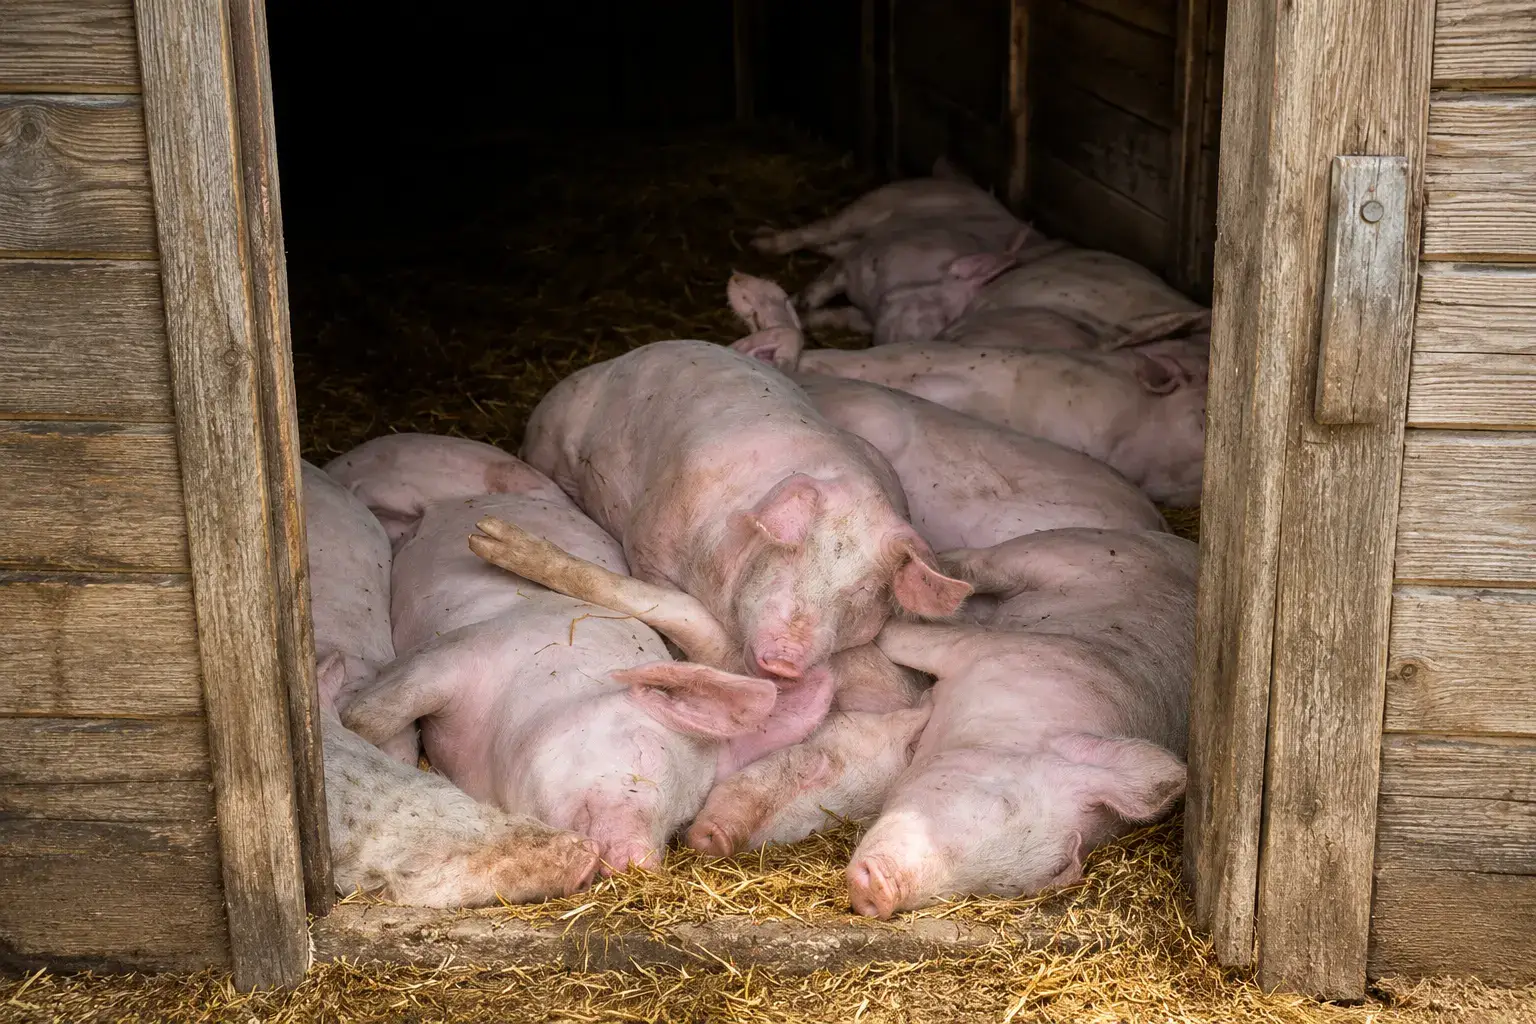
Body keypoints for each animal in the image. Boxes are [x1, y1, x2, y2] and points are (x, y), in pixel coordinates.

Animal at [340, 471, 779, 874]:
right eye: (645, 749)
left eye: (680, 823)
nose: (639, 862)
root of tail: (445, 505)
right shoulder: (462, 651)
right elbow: (378, 714)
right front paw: (351, 727)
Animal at [846, 528, 1196, 918]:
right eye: (1005, 802)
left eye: (993, 886)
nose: (881, 891)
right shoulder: (997, 648)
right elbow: (905, 639)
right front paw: (883, 627)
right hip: (1064, 547)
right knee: (976, 565)